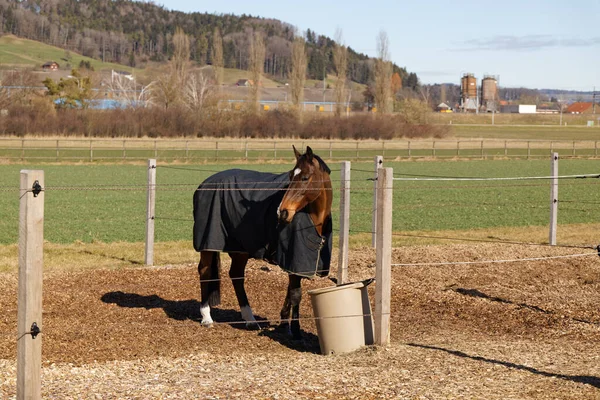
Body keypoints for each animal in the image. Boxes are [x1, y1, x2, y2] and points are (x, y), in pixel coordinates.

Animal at [192, 145, 332, 340]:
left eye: (304, 177)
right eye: (290, 176)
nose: (282, 212)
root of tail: (204, 184)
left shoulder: (293, 263)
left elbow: (290, 291)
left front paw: (284, 323)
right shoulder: (293, 259)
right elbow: (296, 293)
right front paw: (296, 331)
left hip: (240, 248)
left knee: (236, 275)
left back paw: (249, 319)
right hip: (208, 243)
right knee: (205, 271)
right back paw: (206, 316)